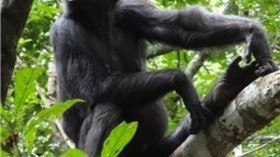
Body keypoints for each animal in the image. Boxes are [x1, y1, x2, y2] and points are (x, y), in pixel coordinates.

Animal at [49, 0, 278, 156]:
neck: (97, 20)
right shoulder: (64, 32)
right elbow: (94, 86)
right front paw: (182, 81)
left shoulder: (128, 9)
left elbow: (180, 27)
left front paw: (253, 33)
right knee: (107, 109)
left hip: (159, 150)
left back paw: (226, 87)